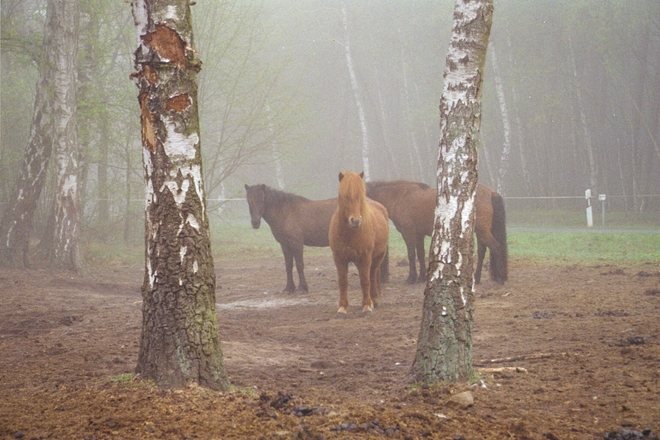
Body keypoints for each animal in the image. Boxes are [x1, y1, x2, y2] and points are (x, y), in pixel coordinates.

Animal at [328, 170, 390, 318]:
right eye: (344, 196)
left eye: (360, 195)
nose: (355, 221)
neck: (350, 233)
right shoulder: (339, 258)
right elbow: (343, 282)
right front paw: (342, 308)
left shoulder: (365, 258)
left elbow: (365, 280)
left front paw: (366, 307)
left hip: (377, 257)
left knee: (372, 275)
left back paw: (374, 300)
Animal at [364, 180, 508, 284]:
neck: (399, 196)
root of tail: (491, 192)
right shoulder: (419, 235)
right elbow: (420, 254)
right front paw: (421, 277)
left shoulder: (408, 233)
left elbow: (411, 255)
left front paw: (411, 278)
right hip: (480, 232)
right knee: (482, 252)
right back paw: (477, 279)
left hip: (483, 232)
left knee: (496, 248)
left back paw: (500, 278)